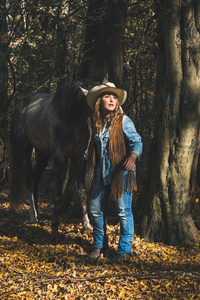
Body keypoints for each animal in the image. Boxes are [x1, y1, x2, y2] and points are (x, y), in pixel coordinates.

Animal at [9, 78, 95, 233]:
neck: (72, 122)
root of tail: (19, 105)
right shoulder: (59, 158)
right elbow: (57, 195)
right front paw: (54, 225)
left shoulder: (81, 158)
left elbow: (82, 193)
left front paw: (86, 224)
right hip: (25, 149)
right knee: (29, 179)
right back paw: (33, 216)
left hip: (42, 153)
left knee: (36, 177)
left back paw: (37, 212)